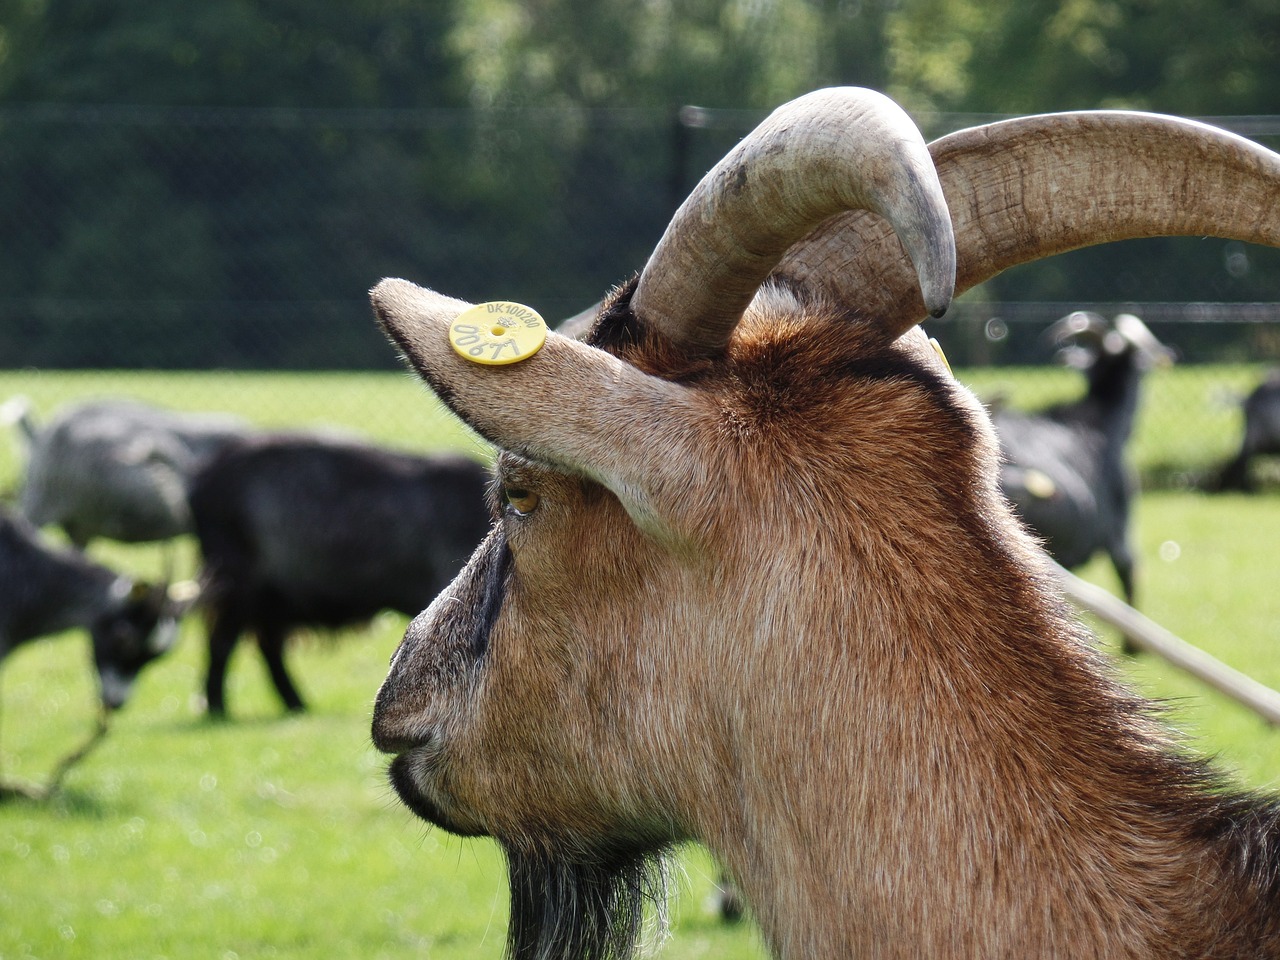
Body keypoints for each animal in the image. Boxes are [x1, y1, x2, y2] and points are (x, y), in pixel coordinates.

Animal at [186, 432, 491, 716]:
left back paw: (295, 703)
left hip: (271, 597)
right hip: (237, 585)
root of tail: (205, 478)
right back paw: (218, 706)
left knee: (267, 647)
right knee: (223, 643)